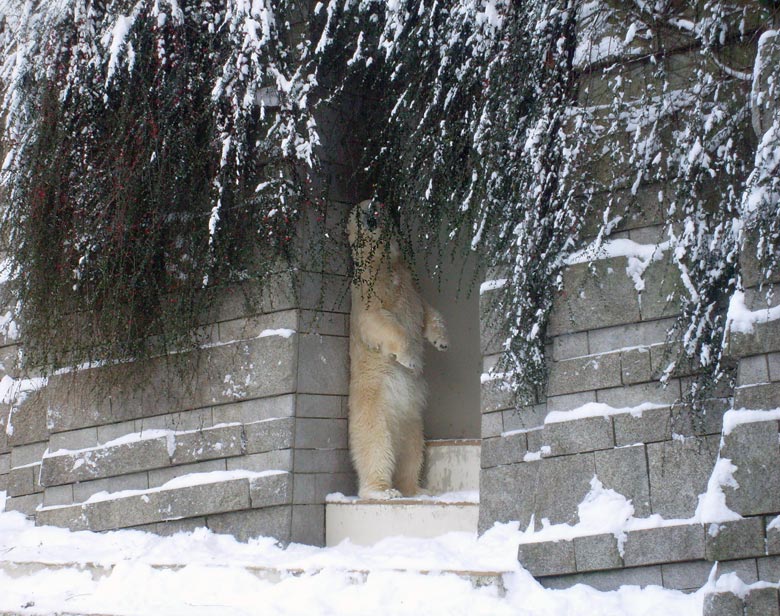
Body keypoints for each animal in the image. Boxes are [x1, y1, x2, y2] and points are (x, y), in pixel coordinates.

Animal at [346, 200, 448, 498]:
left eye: (376, 206)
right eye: (360, 212)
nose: (373, 216)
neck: (384, 263)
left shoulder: (410, 286)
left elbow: (425, 310)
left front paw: (441, 340)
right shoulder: (367, 293)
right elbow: (378, 322)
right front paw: (411, 359)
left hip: (412, 421)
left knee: (412, 451)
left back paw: (417, 489)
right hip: (374, 407)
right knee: (375, 447)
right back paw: (382, 491)